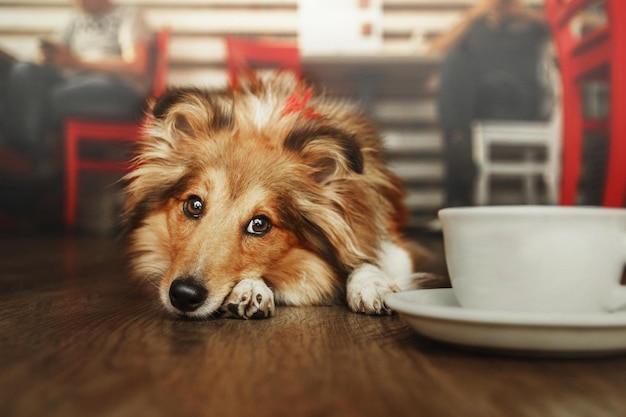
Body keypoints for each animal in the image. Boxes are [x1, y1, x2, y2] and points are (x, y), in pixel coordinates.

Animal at [122, 73, 434, 318]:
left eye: (260, 224)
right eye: (193, 205)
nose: (184, 295)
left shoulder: (390, 240)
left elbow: (368, 258)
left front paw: (373, 285)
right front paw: (251, 288)